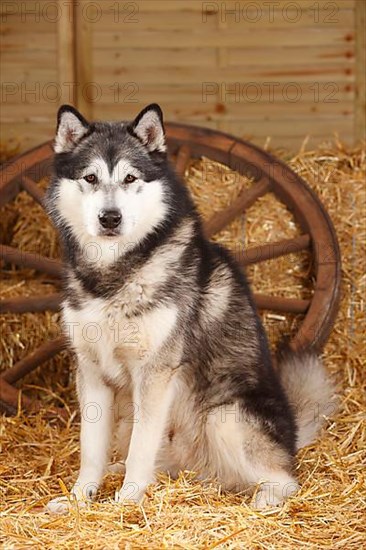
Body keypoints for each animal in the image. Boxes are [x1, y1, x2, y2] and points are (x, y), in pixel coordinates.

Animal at [44, 105, 334, 516]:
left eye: (130, 178)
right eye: (90, 177)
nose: (110, 217)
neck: (115, 274)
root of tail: (292, 435)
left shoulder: (155, 373)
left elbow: (141, 450)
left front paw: (126, 502)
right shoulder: (91, 370)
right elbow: (90, 450)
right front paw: (79, 499)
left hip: (224, 416)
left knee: (285, 480)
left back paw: (262, 501)